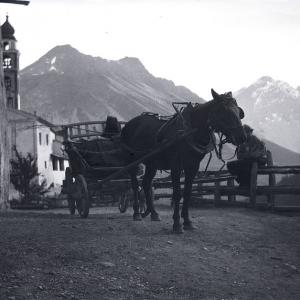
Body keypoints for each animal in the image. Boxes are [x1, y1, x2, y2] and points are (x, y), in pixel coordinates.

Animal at [119, 89, 246, 234]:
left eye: (239, 112)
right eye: (223, 110)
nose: (242, 137)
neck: (190, 131)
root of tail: (129, 124)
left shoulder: (193, 167)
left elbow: (187, 193)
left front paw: (187, 222)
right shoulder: (176, 166)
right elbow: (177, 193)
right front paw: (176, 224)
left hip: (152, 163)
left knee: (146, 183)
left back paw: (153, 213)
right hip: (132, 160)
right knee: (135, 184)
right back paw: (137, 213)